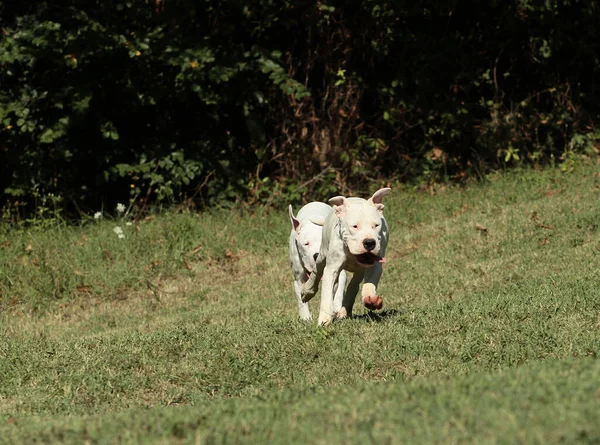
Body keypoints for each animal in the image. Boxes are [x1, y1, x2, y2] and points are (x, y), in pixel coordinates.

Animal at [302, 187, 392, 326]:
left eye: (376, 225)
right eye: (354, 226)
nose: (369, 242)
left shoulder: (376, 264)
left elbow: (370, 282)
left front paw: (370, 298)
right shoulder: (331, 269)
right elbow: (327, 294)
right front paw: (324, 319)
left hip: (360, 270)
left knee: (353, 285)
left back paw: (345, 310)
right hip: (322, 254)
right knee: (317, 272)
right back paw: (307, 291)